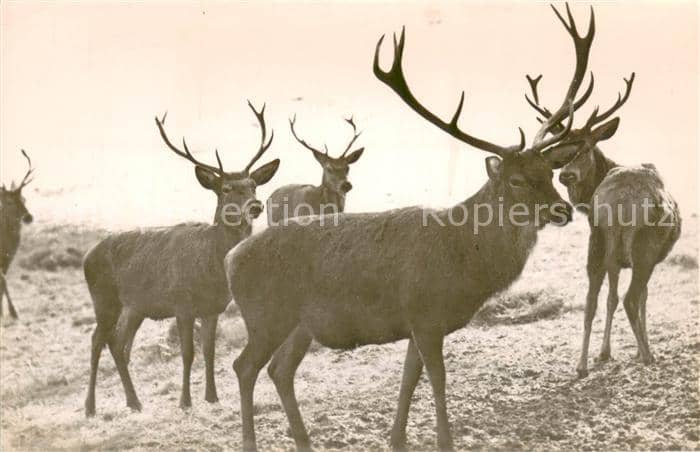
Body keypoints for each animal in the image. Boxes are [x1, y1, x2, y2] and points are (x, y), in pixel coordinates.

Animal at [82, 101, 279, 417]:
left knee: (118, 343)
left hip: (135, 307)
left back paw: (134, 402)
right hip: (104, 299)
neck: (211, 266)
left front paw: (212, 396)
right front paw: (185, 401)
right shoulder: (181, 304)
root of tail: (87, 256)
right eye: (226, 189)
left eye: (253, 185)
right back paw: (90, 407)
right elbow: (188, 354)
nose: (256, 206)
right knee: (96, 341)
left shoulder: (213, 309)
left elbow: (210, 351)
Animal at [224, 5, 594, 450]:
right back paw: (251, 440)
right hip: (266, 314)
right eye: (518, 180)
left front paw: (396, 438)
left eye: (549, 172)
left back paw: (304, 441)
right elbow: (437, 381)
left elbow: (408, 380)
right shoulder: (426, 314)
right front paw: (444, 440)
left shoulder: (418, 322)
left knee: (279, 369)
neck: (466, 258)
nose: (562, 210)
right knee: (244, 366)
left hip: (298, 324)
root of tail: (230, 258)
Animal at [525, 67, 681, 378]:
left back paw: (581, 365)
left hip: (598, 241)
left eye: (584, 148)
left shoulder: (613, 256)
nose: (566, 175)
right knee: (631, 298)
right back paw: (648, 357)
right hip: (644, 246)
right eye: (560, 148)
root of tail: (621, 199)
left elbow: (609, 298)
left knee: (591, 300)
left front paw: (604, 353)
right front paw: (631, 350)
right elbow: (640, 298)